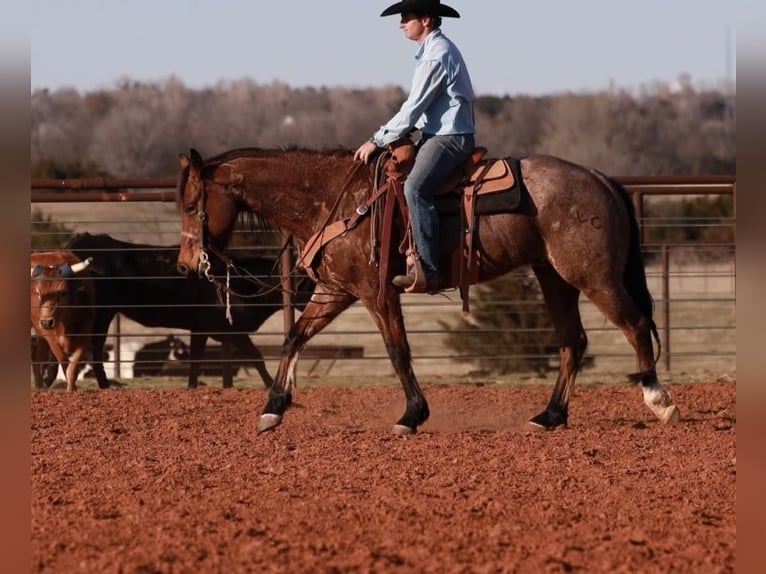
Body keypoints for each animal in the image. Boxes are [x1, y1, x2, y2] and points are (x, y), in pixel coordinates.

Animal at [175, 146, 681, 435]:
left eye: (191, 202)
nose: (186, 263)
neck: (336, 199)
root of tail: (599, 177)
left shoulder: (376, 294)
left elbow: (398, 352)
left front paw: (411, 415)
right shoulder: (336, 291)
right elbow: (294, 337)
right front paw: (273, 409)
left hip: (594, 277)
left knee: (636, 326)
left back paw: (659, 403)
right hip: (554, 278)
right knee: (573, 342)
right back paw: (549, 416)